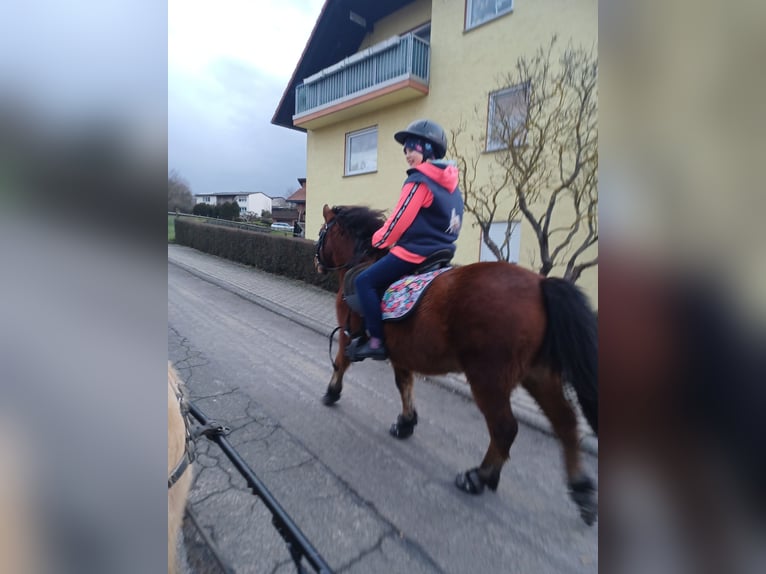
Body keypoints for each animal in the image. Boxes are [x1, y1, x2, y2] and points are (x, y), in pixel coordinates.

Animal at [314, 204, 599, 525]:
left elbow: (341, 363)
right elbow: (404, 384)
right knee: (565, 423)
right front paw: (406, 423)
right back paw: (581, 489)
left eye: (322, 232)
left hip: (488, 378)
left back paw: (479, 477)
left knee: (505, 428)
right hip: (539, 375)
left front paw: (332, 393)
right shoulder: (402, 352)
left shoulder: (347, 334)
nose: (317, 262)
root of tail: (541, 284)